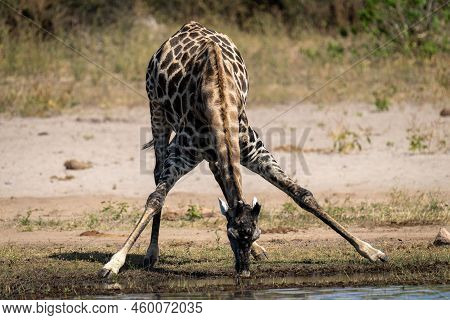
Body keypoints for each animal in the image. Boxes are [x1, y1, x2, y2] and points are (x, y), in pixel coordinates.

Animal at [98, 21, 386, 278]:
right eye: (230, 235)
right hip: (156, 111)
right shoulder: (182, 154)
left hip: (212, 150)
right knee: (158, 171)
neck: (218, 99)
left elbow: (302, 194)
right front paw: (115, 262)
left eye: (256, 232)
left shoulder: (254, 151)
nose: (244, 271)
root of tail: (185, 27)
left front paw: (371, 250)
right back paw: (151, 252)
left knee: (222, 178)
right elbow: (155, 198)